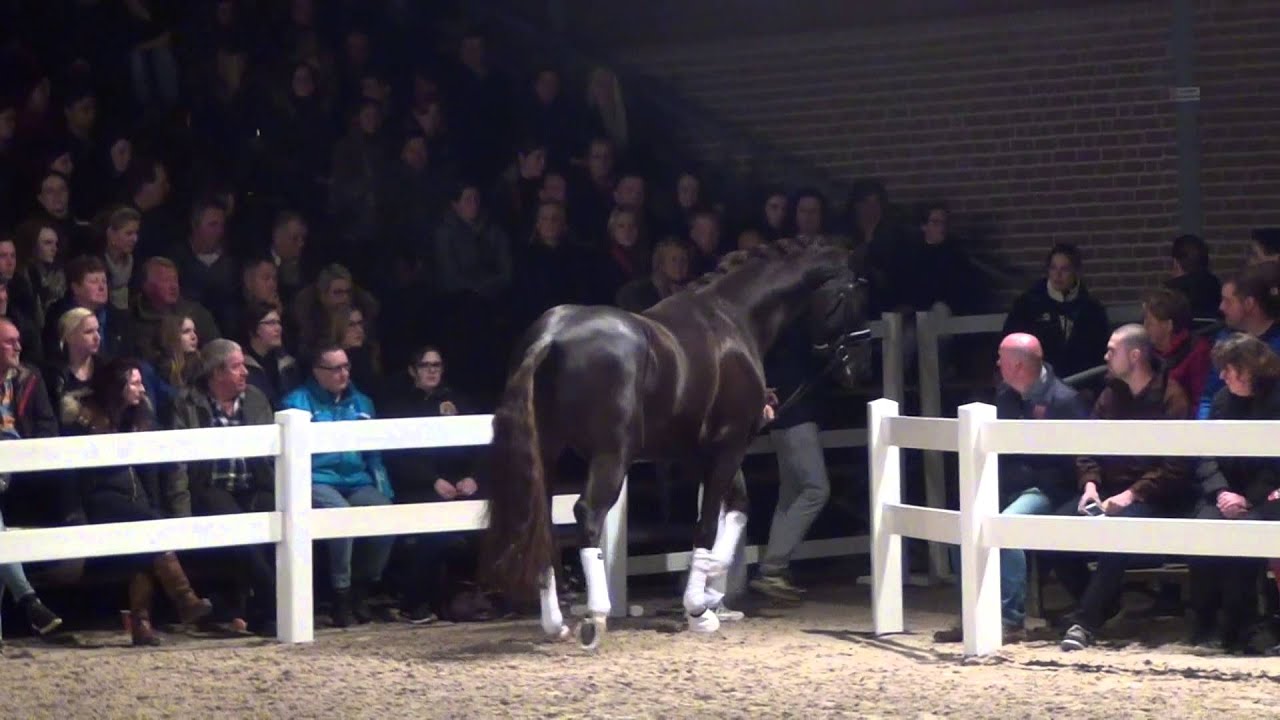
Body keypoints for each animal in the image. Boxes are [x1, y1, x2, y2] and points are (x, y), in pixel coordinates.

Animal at [482, 236, 869, 649]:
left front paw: (709, 596)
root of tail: (552, 336)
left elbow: (737, 509)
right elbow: (709, 525)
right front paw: (700, 607)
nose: (859, 368)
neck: (732, 318)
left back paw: (555, 623)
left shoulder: (699, 453)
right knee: (588, 514)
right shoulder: (730, 446)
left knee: (540, 520)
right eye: (856, 294)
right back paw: (596, 618)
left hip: (547, 453)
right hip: (611, 456)